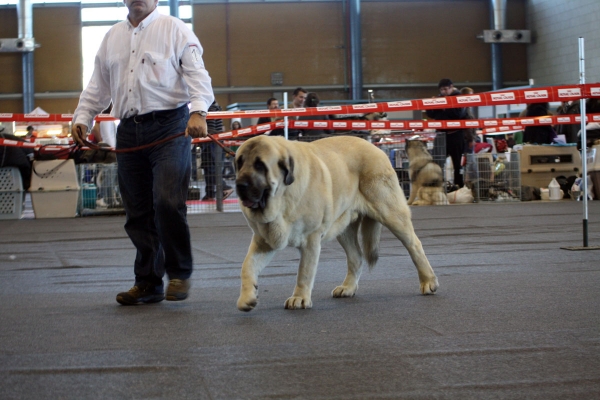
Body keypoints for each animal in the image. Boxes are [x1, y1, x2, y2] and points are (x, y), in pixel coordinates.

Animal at [233, 136, 436, 310]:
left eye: (260, 165)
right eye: (240, 163)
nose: (239, 185)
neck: (282, 197)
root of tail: (375, 148)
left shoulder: (311, 240)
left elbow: (304, 272)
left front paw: (300, 298)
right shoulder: (264, 241)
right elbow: (247, 266)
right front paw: (247, 298)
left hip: (391, 214)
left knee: (414, 245)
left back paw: (429, 281)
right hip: (343, 227)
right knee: (356, 257)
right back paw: (348, 288)